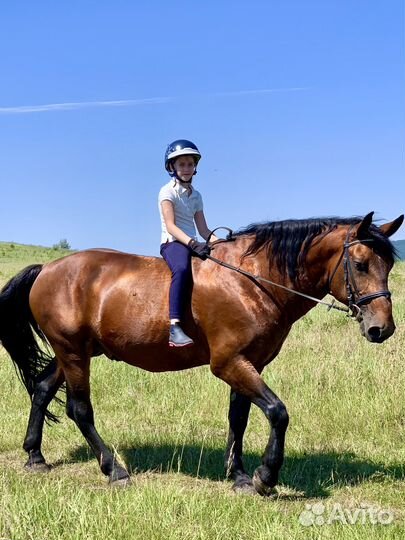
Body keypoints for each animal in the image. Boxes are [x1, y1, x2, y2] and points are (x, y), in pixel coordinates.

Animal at [0, 211, 402, 494]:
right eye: (361, 264)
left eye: (389, 265)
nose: (382, 328)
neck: (252, 280)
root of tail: (47, 269)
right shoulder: (227, 363)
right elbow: (277, 412)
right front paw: (265, 475)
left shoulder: (250, 362)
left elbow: (239, 418)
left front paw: (239, 475)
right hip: (73, 353)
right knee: (79, 409)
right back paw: (114, 470)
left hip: (75, 352)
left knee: (42, 389)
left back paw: (35, 456)